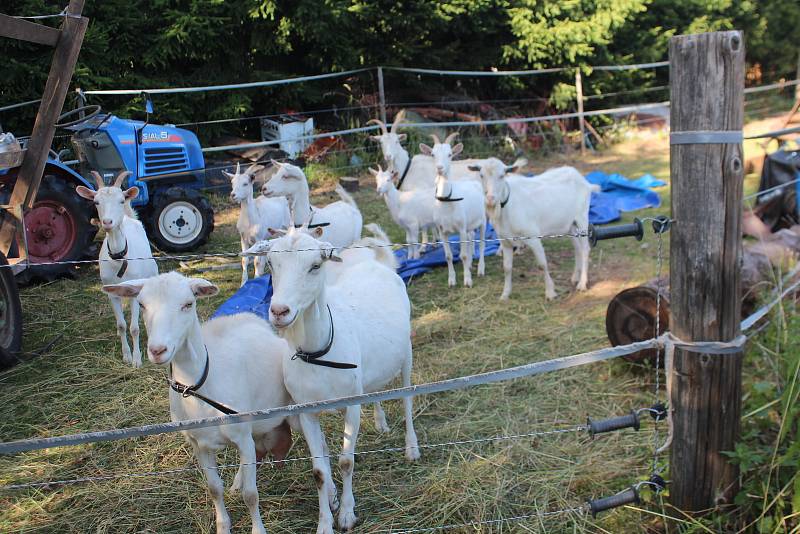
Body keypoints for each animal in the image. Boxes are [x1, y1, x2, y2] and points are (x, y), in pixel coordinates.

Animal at [78, 172, 158, 368]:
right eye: (96, 202)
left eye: (121, 200)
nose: (107, 222)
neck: (118, 257)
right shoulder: (111, 293)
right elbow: (122, 325)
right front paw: (126, 355)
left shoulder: (135, 291)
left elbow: (134, 328)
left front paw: (137, 360)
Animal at [103, 274, 294, 534]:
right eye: (141, 305)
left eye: (188, 304)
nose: (157, 350)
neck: (200, 387)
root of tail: (251, 316)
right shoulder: (198, 444)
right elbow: (214, 489)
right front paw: (223, 526)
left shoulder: (241, 434)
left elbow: (251, 495)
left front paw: (258, 529)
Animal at [242, 227, 418, 534]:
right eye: (271, 265)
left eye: (315, 265)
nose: (279, 311)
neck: (317, 353)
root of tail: (378, 263)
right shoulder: (306, 411)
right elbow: (319, 471)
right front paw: (325, 522)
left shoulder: (352, 405)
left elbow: (346, 461)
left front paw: (347, 514)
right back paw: (381, 422)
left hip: (406, 353)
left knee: (407, 398)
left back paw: (412, 448)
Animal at [418, 134, 488, 288]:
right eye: (433, 154)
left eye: (450, 154)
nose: (440, 168)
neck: (447, 201)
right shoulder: (442, 231)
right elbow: (448, 256)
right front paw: (451, 281)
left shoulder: (461, 228)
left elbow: (463, 255)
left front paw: (467, 281)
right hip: (469, 224)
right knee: (471, 237)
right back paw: (470, 264)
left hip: (483, 221)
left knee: (481, 243)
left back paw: (480, 269)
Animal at [468, 159, 600, 302]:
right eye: (481, 175)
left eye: (502, 175)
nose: (490, 198)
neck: (507, 206)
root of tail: (584, 181)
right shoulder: (506, 242)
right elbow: (507, 268)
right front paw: (505, 294)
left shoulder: (533, 237)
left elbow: (542, 264)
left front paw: (550, 292)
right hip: (570, 225)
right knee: (577, 248)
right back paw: (575, 277)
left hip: (582, 218)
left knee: (585, 249)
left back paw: (582, 284)